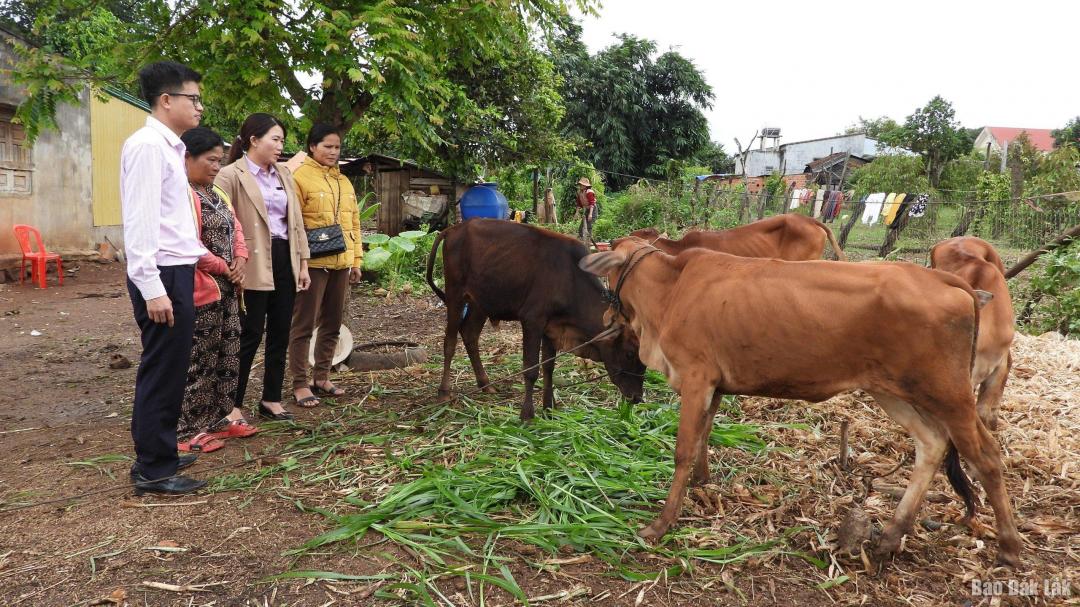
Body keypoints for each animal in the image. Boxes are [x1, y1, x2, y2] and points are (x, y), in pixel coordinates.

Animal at [425, 219, 643, 419]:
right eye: (629, 353)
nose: (638, 397)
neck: (570, 279)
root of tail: (453, 229)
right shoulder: (532, 321)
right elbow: (531, 369)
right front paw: (527, 414)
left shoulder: (551, 327)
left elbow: (548, 367)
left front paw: (549, 408)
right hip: (455, 295)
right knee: (450, 342)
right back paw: (444, 392)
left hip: (480, 302)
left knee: (470, 334)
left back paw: (485, 384)